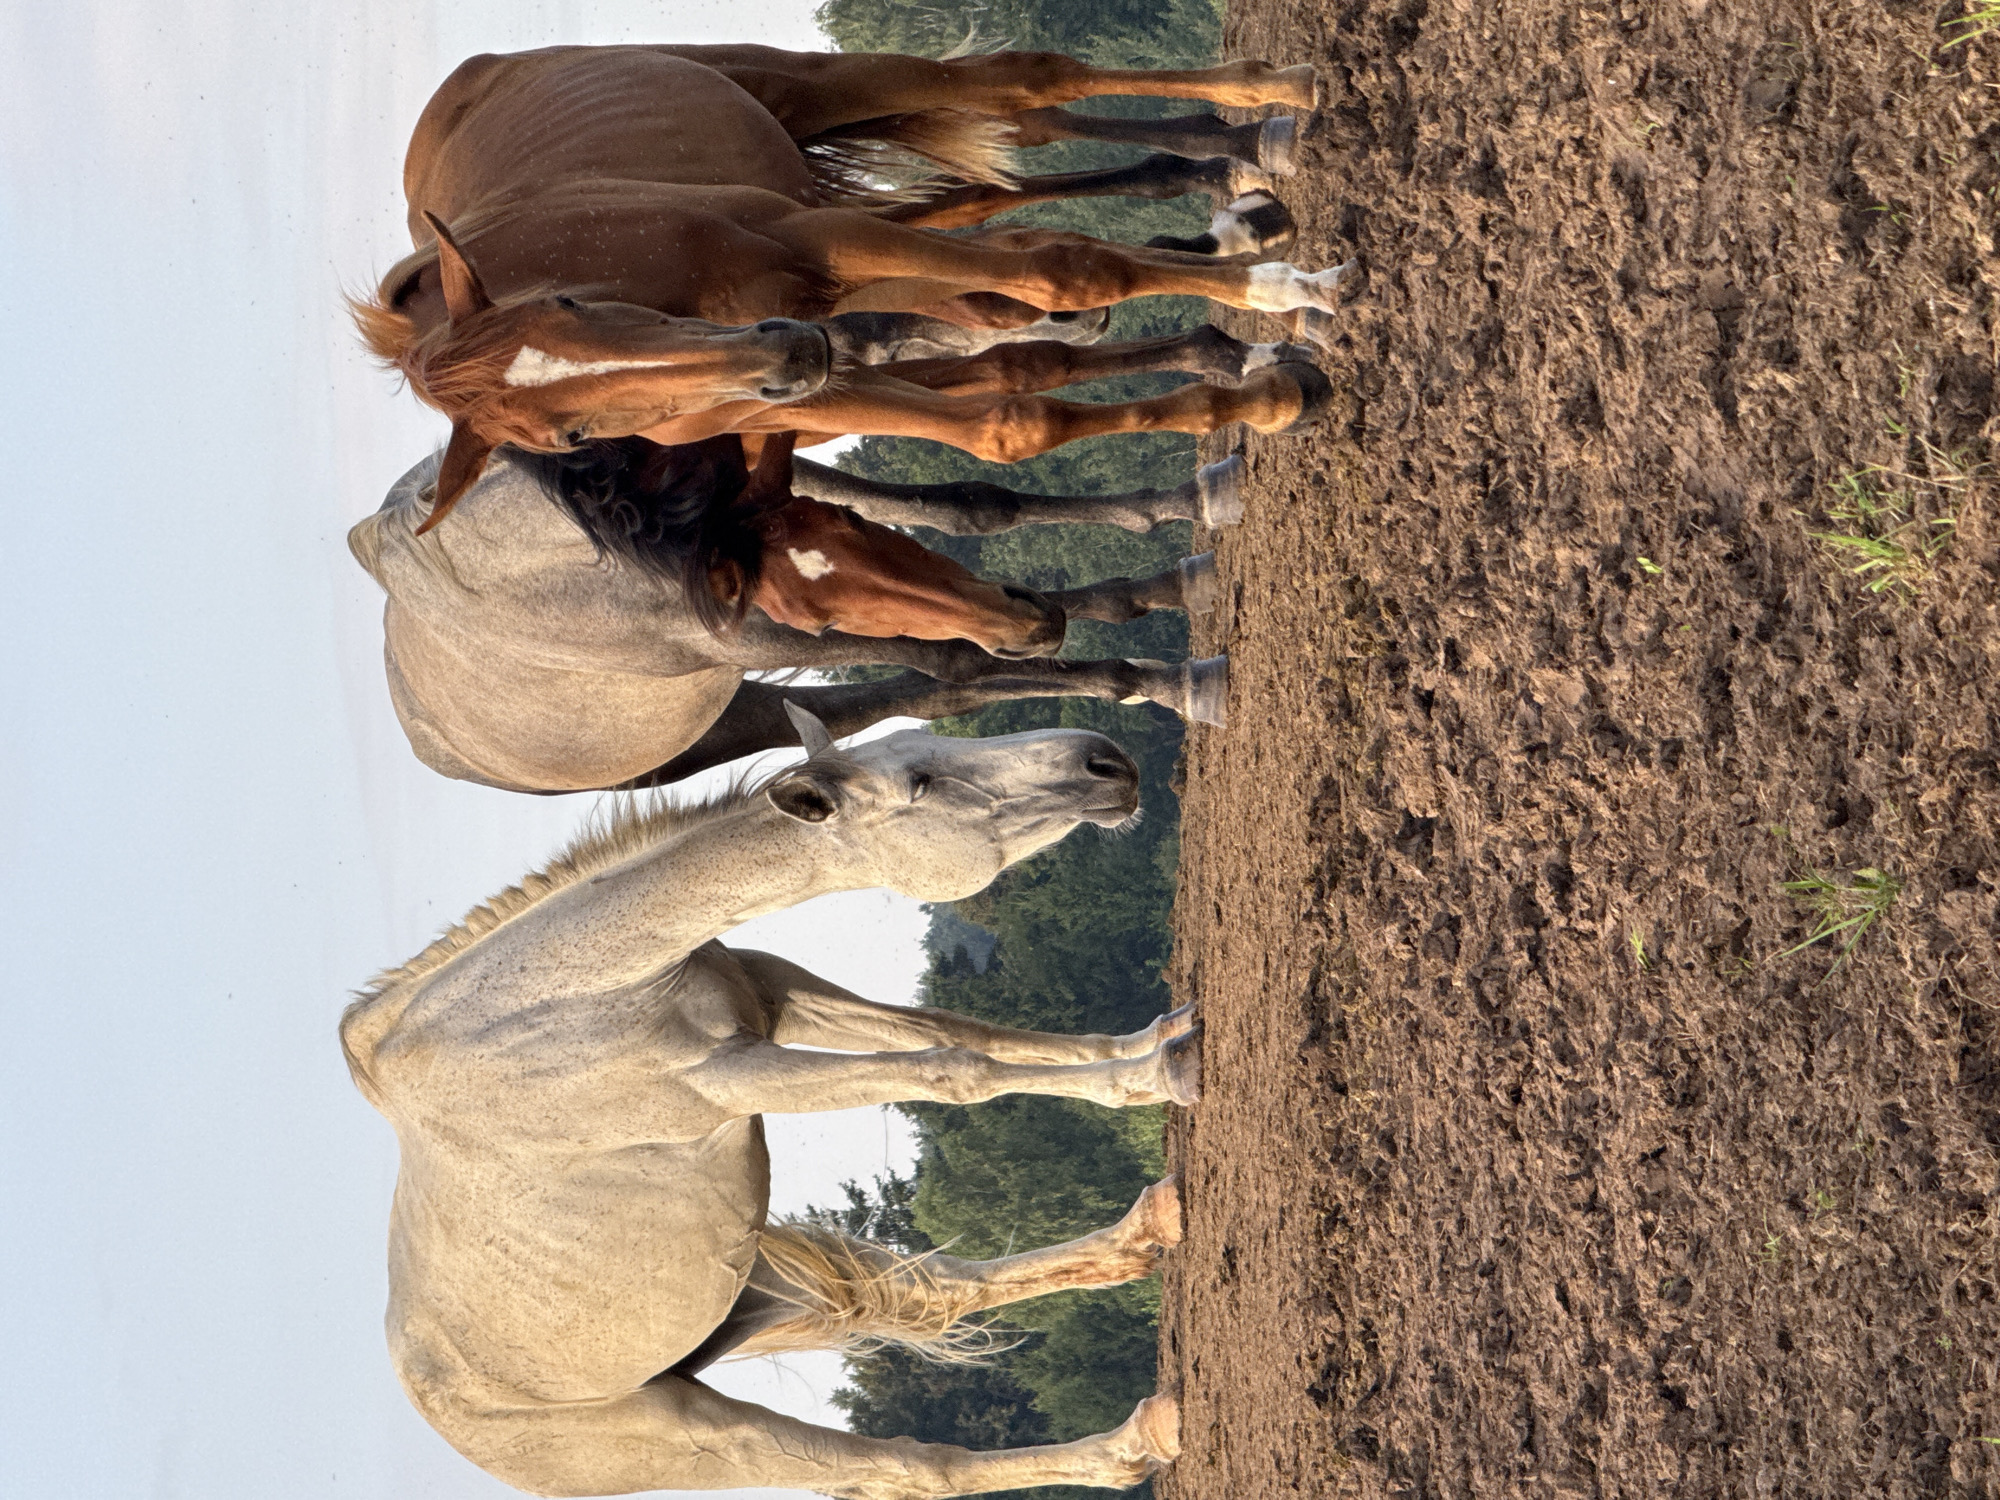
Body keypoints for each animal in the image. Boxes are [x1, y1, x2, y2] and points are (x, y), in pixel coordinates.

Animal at [340, 710, 1201, 1497]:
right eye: (918, 782)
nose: (1103, 761)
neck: (561, 997)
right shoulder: (736, 1076)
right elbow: (953, 1067)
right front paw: (1168, 1070)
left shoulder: (779, 993)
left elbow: (961, 1030)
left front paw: (1158, 1043)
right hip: (708, 1437)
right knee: (913, 1469)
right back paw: (1131, 1442)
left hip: (760, 1296)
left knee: (945, 1289)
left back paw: (1148, 1233)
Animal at [350, 442, 1232, 793]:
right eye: (804, 611)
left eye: (846, 522)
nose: (1028, 622)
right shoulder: (735, 632)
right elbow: (956, 656)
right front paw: (1163, 680)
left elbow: (971, 508)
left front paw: (1190, 516)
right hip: (733, 718)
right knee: (935, 683)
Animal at [351, 43, 1357, 523]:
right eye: (573, 433)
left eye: (568, 302)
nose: (787, 354)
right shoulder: (811, 387)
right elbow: (1007, 421)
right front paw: (1260, 385)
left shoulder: (816, 240)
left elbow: (1066, 270)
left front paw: (1282, 293)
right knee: (1004, 212)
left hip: (803, 91)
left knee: (1020, 90)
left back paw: (1275, 101)